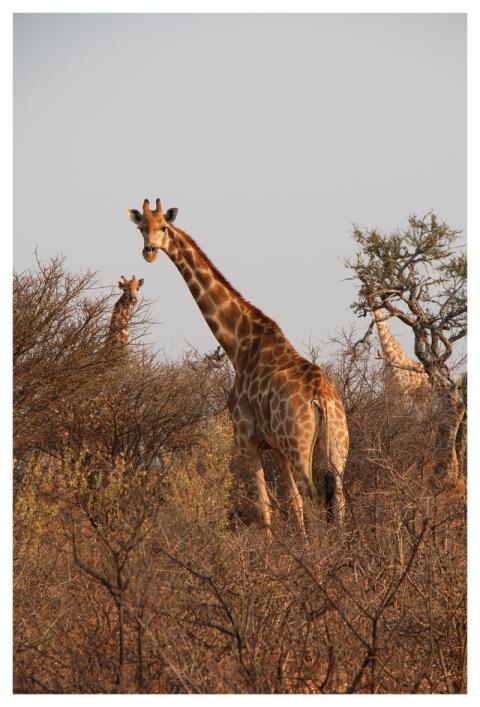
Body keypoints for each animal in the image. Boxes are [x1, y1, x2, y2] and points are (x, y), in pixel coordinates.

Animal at [126, 198, 349, 535]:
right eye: (141, 227)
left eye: (163, 227)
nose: (149, 251)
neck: (240, 344)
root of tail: (322, 398)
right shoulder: (277, 447)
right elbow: (291, 504)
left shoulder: (246, 439)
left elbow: (264, 508)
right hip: (337, 444)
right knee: (337, 500)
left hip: (300, 445)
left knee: (313, 499)